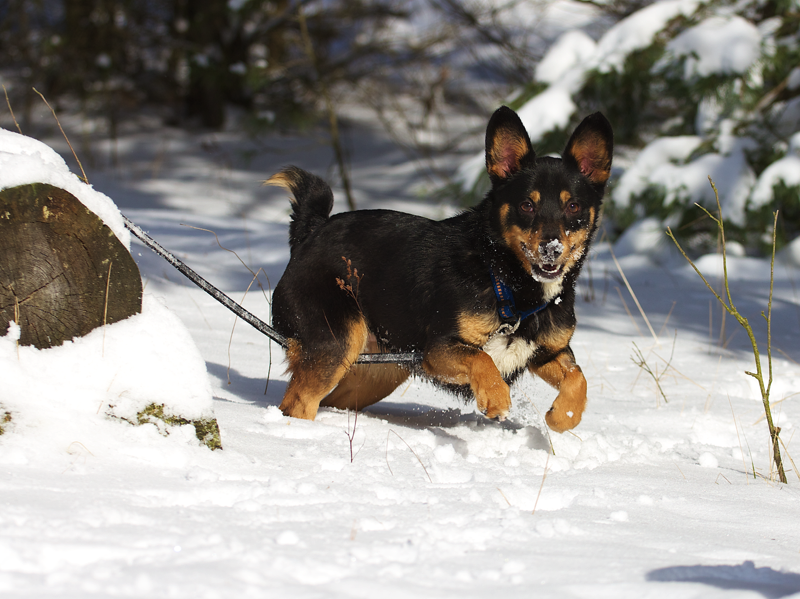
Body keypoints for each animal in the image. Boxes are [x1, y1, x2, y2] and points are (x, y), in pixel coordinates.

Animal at [266, 106, 612, 432]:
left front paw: (564, 416)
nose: (551, 248)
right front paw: (496, 398)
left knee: (328, 400)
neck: (503, 277)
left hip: (379, 369)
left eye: (573, 206)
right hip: (338, 341)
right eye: (527, 205)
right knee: (297, 403)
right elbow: (481, 358)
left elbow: (578, 378)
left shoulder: (548, 352)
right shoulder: (439, 348)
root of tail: (311, 232)